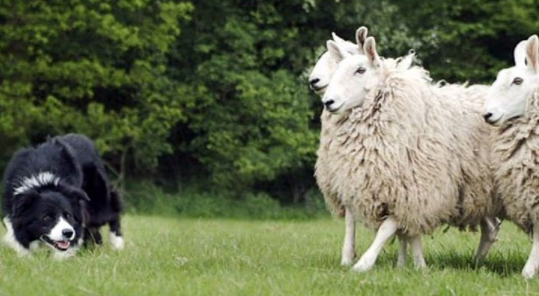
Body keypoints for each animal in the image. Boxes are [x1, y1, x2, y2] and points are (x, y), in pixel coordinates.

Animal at [318, 35, 500, 272]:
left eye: (360, 70)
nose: (328, 102)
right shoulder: (379, 186)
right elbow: (401, 231)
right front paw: (412, 265)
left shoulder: (416, 191)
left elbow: (389, 229)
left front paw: (364, 263)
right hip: (477, 192)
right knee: (491, 228)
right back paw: (476, 263)